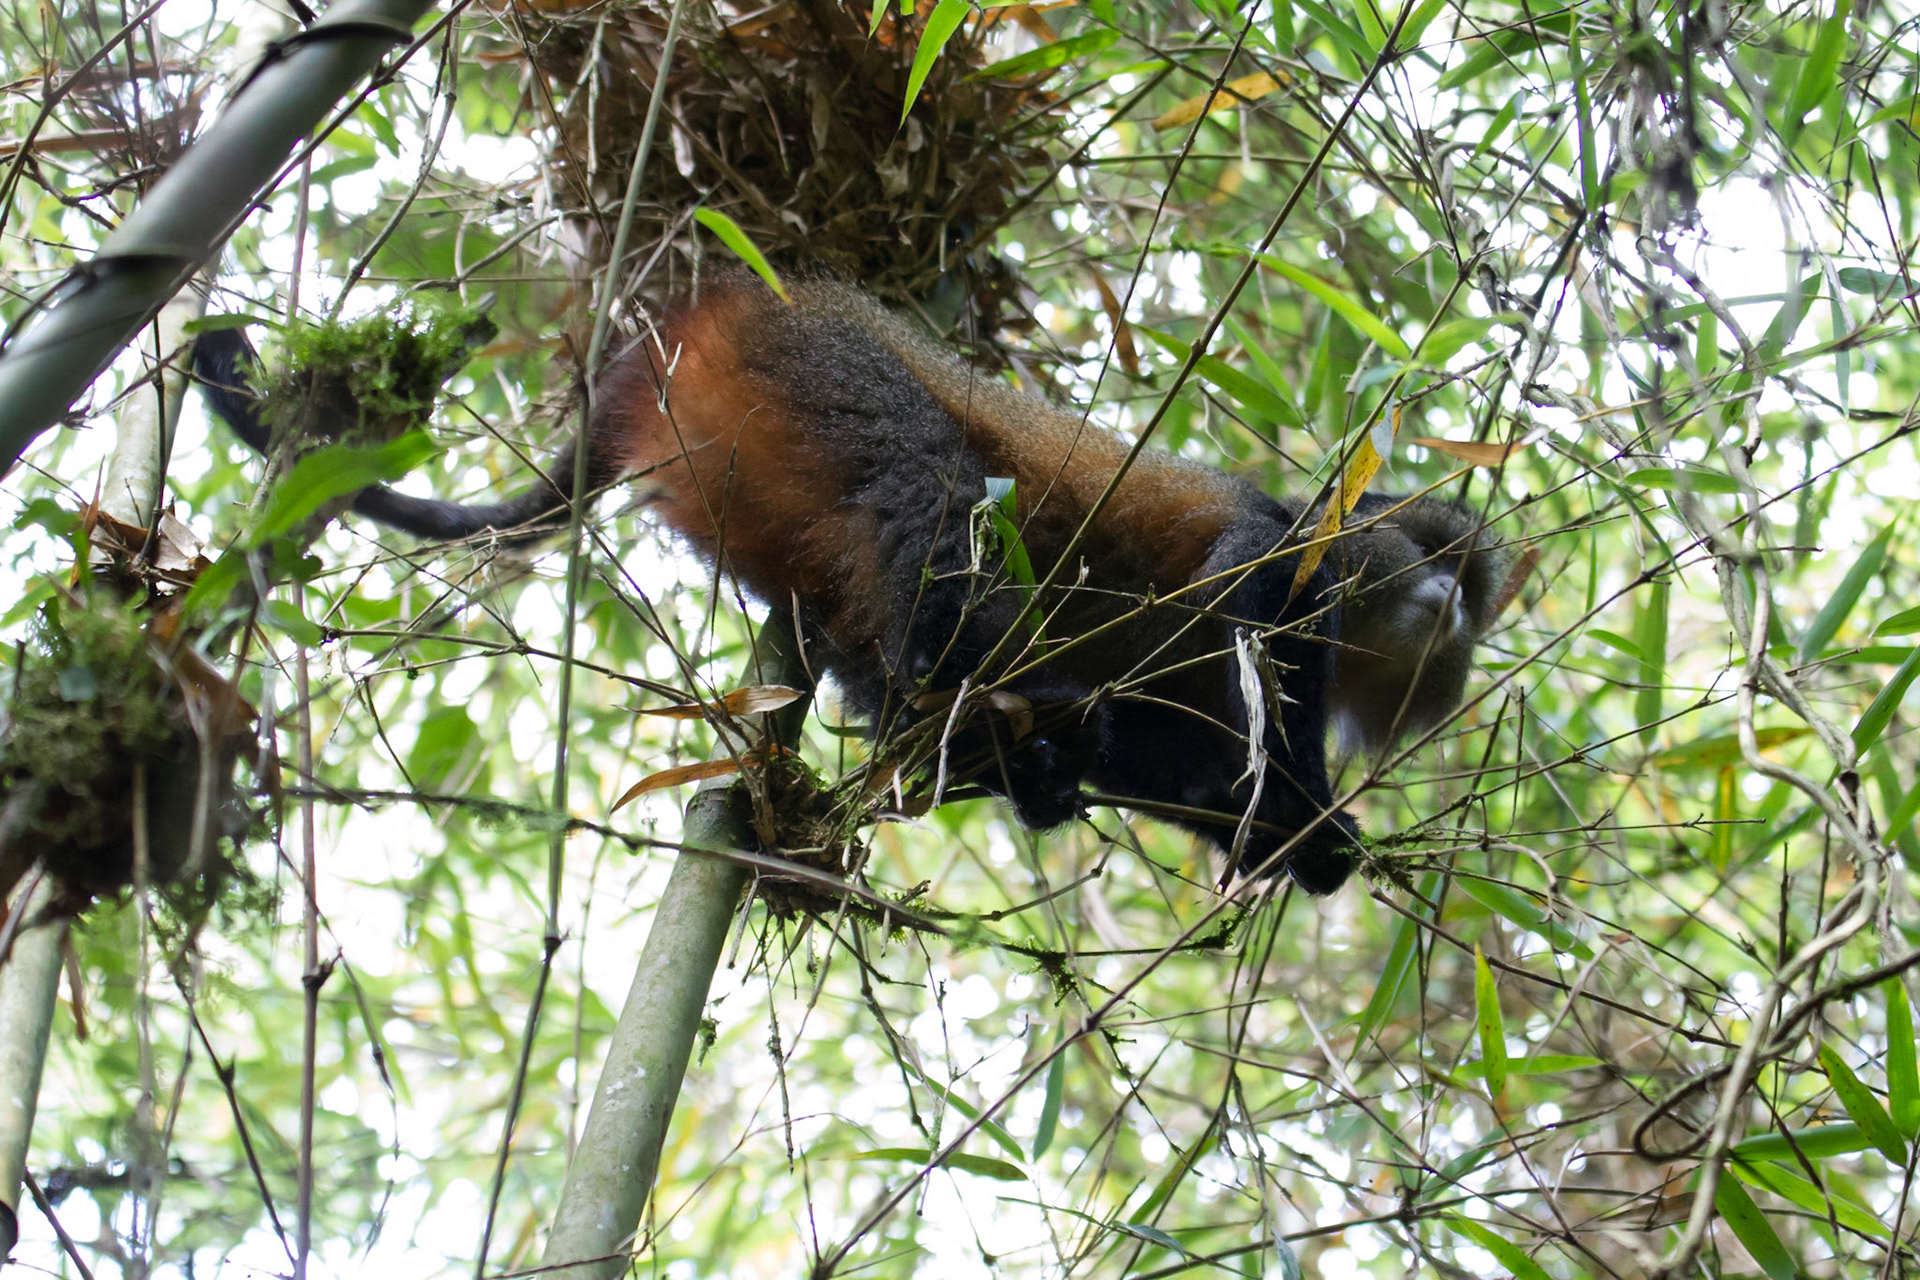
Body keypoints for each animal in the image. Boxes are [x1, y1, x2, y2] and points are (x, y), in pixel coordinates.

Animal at [192, 271, 1506, 894]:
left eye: (1468, 585)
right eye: (1432, 557)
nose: (1448, 602)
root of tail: (654, 360)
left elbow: (1176, 759)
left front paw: (1307, 839)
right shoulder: (1283, 549)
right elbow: (1249, 627)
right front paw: (1307, 805)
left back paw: (989, 751)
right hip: (818, 371)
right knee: (932, 492)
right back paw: (956, 713)